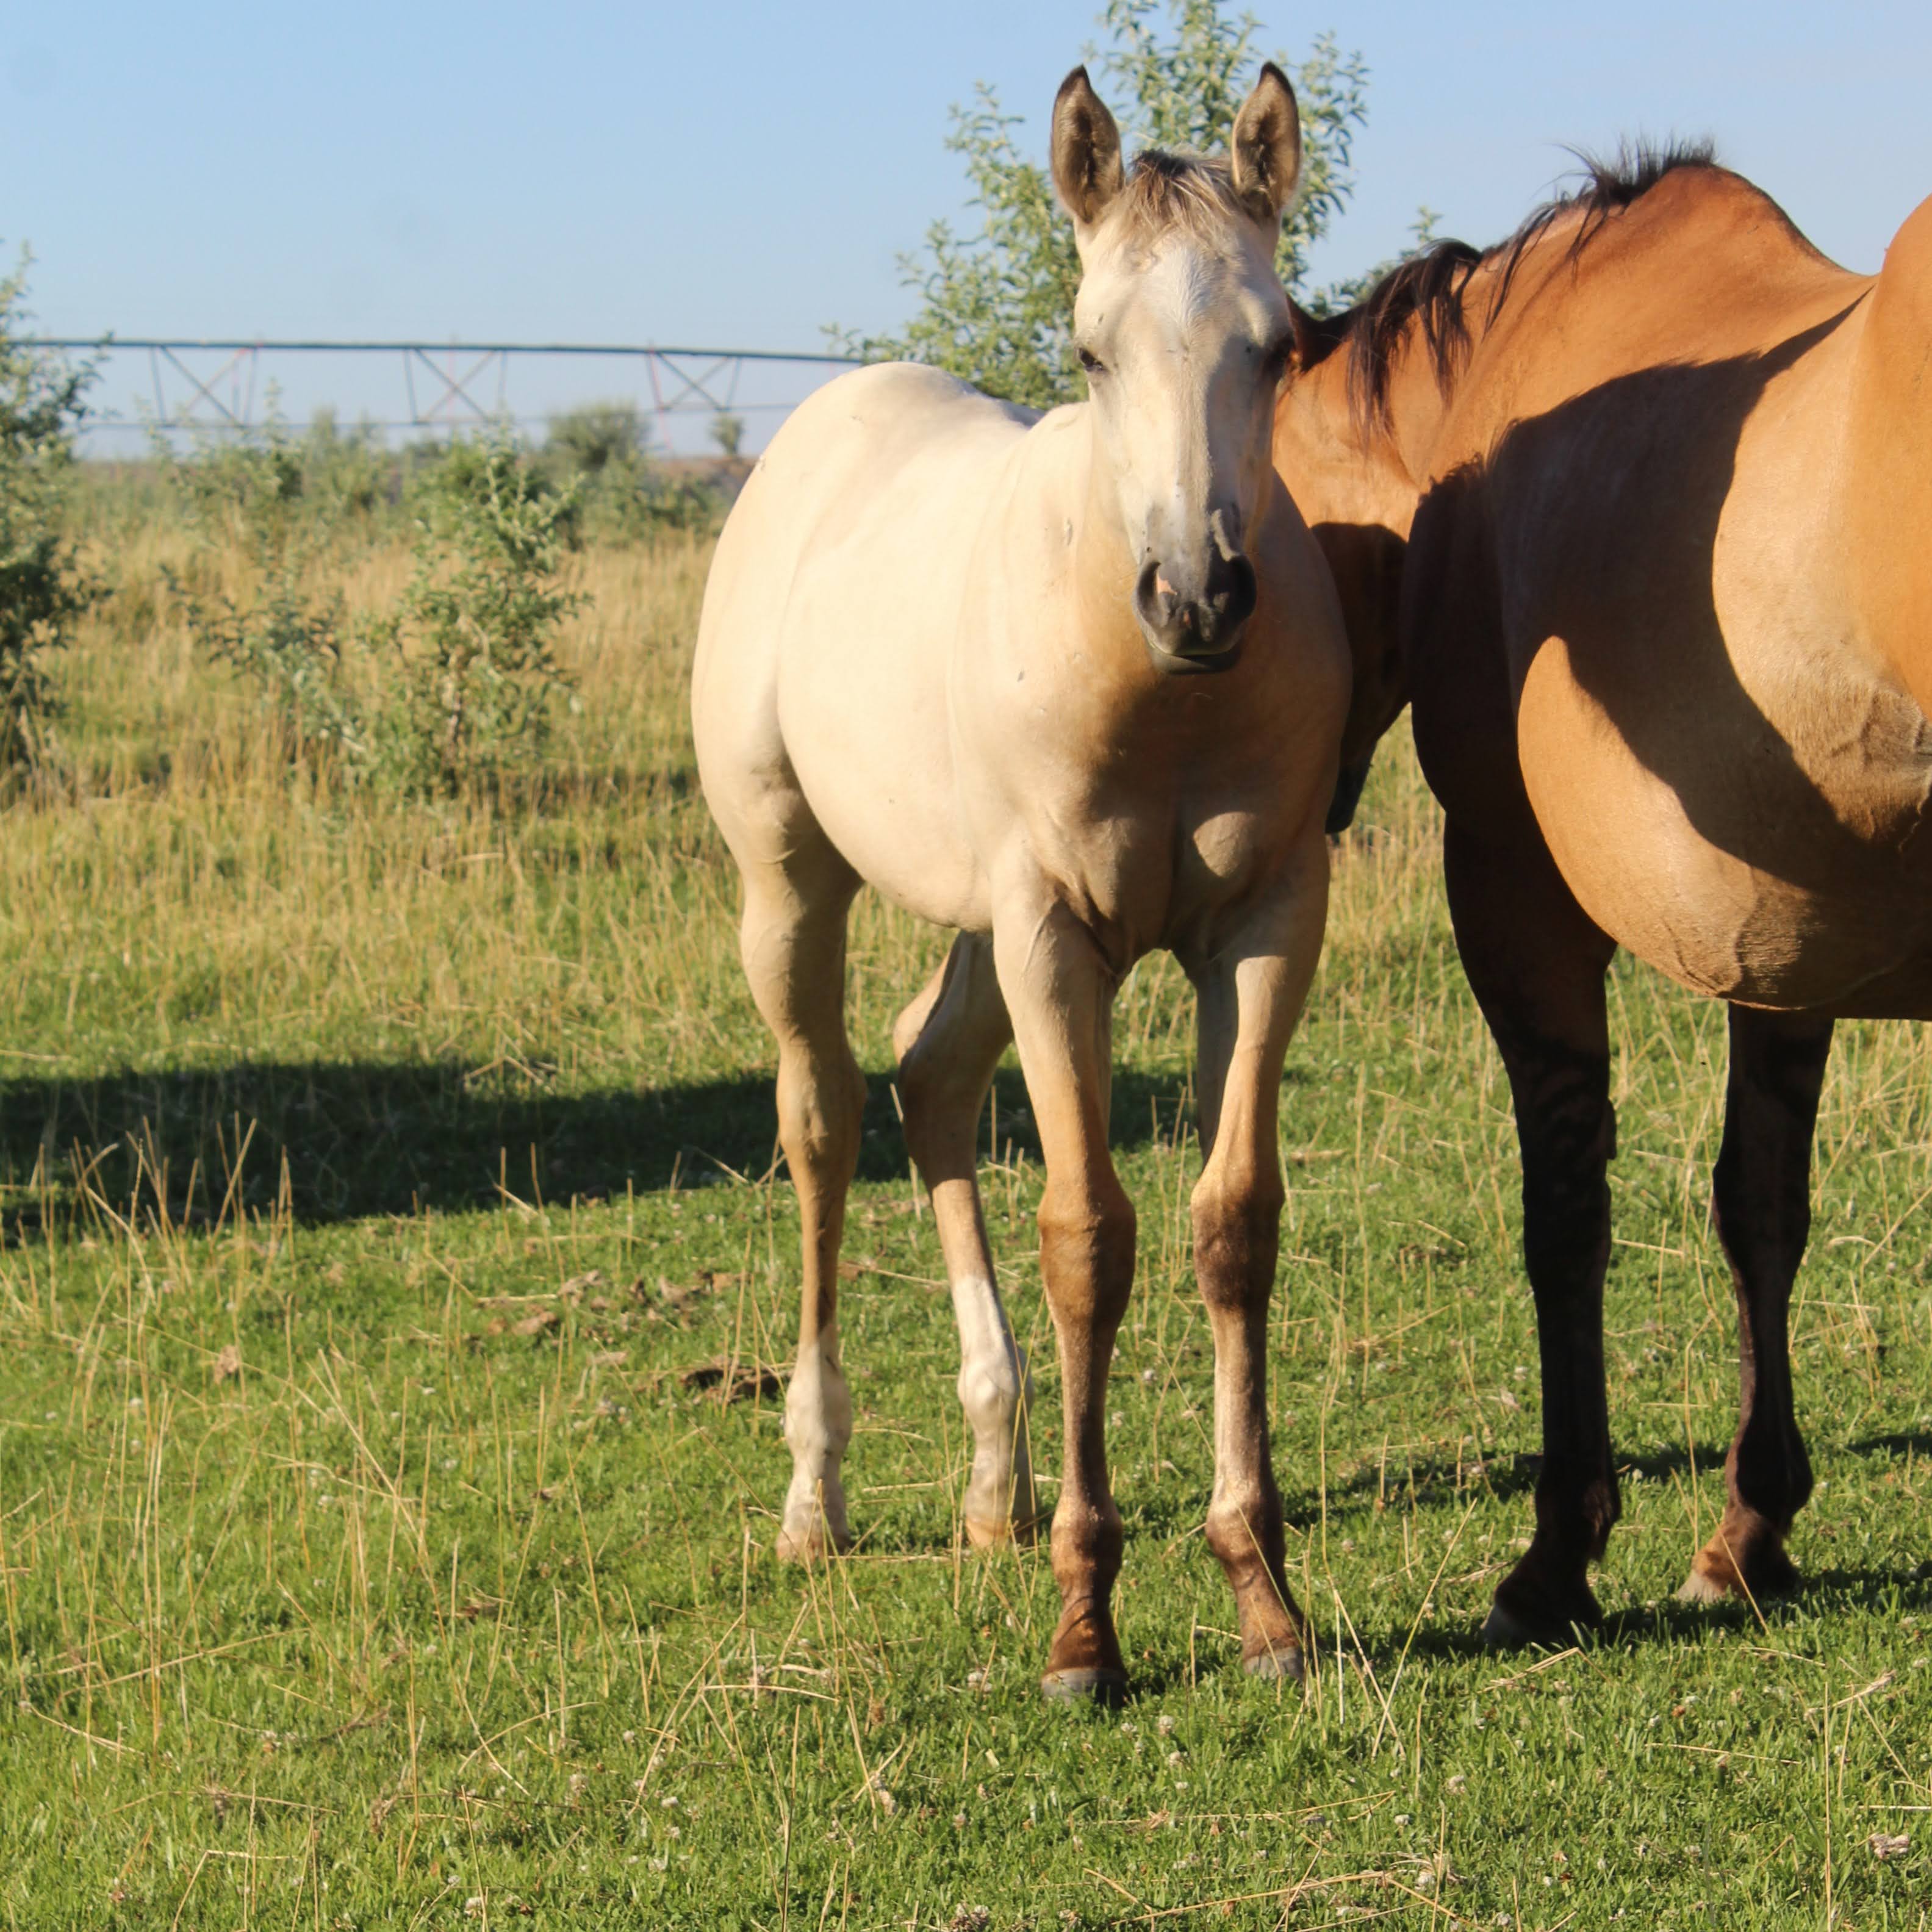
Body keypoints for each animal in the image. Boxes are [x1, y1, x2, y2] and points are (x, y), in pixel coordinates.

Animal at [693, 64, 1348, 1698]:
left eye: (1279, 343)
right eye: (1087, 348)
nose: (1198, 594)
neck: (1157, 693)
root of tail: (827, 426)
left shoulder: (1261, 927)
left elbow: (1231, 1219)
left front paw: (1261, 1593)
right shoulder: (1060, 940)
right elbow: (1086, 1235)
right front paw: (1084, 1625)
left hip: (985, 924)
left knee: (927, 1077)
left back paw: (995, 1481)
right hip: (789, 884)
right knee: (824, 1117)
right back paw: (816, 1496)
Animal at [1272, 146, 1932, 1646]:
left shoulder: (1510, 892)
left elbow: (1562, 1213)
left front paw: (1556, 1551)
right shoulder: (1780, 944)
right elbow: (1759, 1205)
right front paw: (1749, 1529)